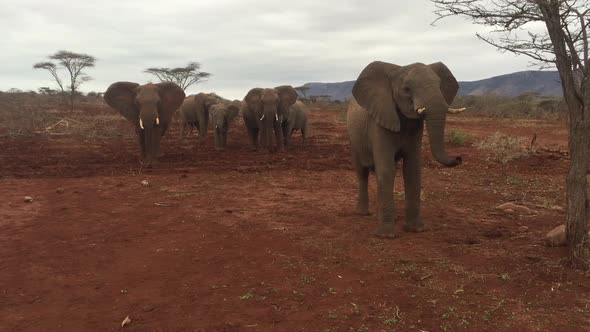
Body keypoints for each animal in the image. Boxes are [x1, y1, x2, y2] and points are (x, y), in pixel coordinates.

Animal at [346, 61, 468, 239]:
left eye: (440, 85)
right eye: (407, 89)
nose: (459, 158)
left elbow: (412, 169)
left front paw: (416, 230)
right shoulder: (379, 122)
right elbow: (387, 170)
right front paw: (386, 236)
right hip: (353, 137)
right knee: (362, 172)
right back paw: (362, 213)